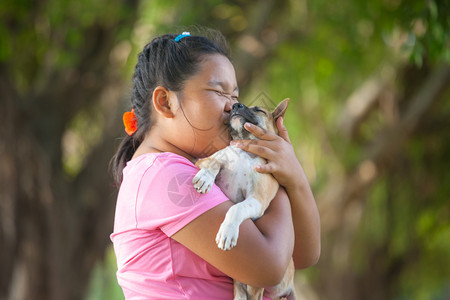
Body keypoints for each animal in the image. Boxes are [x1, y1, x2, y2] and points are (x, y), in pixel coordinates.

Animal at [192, 99, 296, 300]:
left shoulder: (257, 200)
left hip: (256, 284)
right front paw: (205, 177)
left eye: (259, 110)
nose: (235, 105)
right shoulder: (205, 159)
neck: (245, 152)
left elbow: (236, 208)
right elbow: (213, 162)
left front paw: (227, 231)